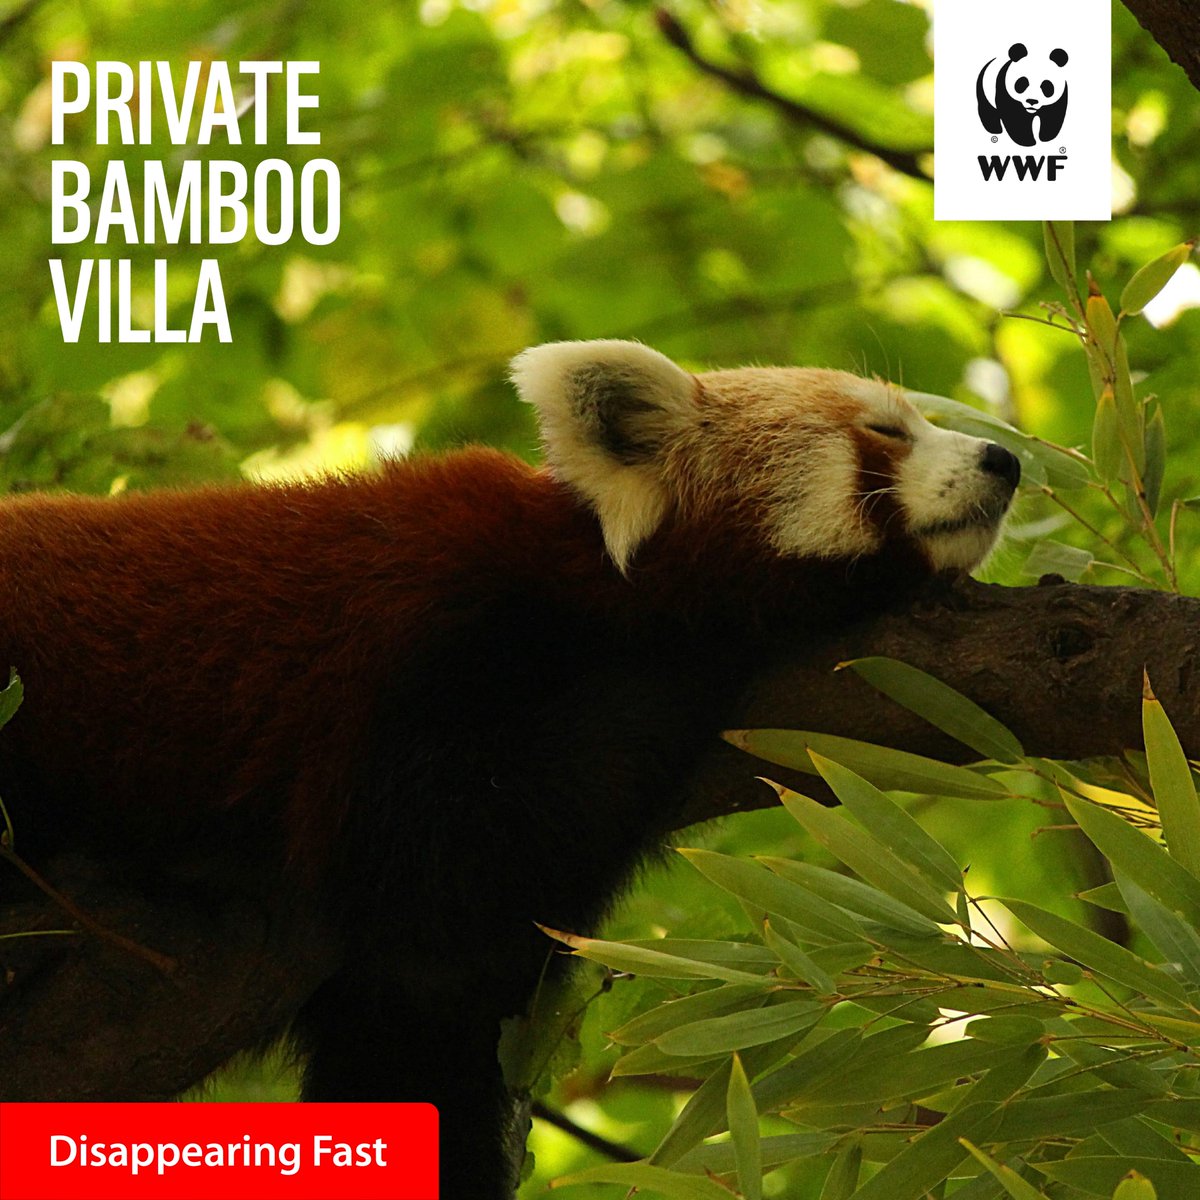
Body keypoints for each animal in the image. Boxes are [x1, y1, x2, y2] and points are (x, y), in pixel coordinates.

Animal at [0, 340, 1020, 1198]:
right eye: (884, 432)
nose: (1006, 461)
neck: (583, 568)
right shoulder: (430, 645)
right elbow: (449, 851)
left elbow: (420, 1030)